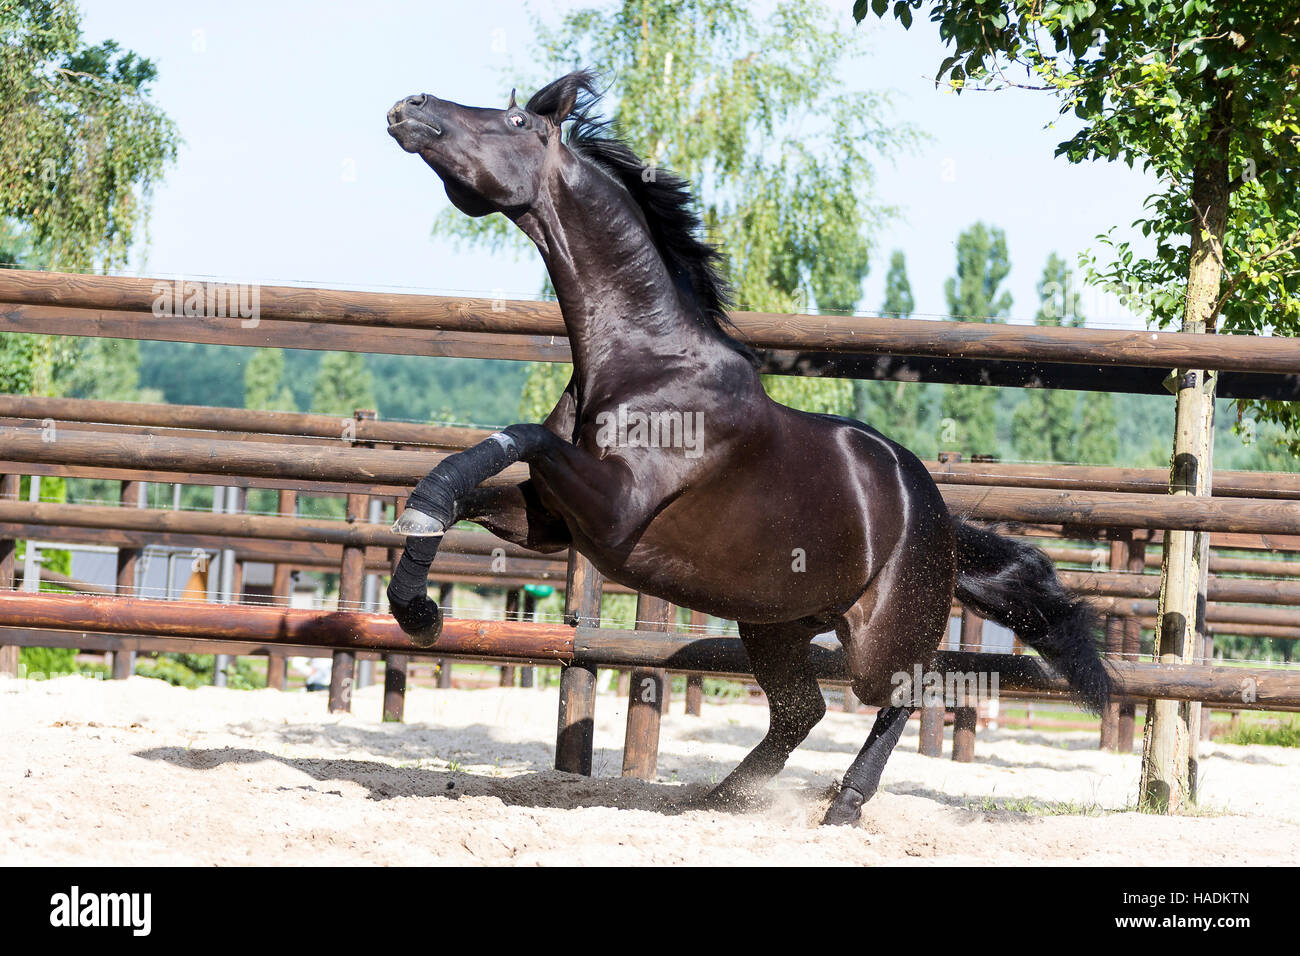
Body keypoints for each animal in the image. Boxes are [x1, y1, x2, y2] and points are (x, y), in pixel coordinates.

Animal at [383, 71, 1111, 826]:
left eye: (518, 121)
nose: (409, 106)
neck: (646, 363)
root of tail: (938, 515)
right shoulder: (556, 522)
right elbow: (473, 493)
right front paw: (415, 606)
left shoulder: (612, 511)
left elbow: (511, 441)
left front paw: (419, 585)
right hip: (775, 623)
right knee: (801, 710)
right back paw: (724, 799)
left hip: (879, 635)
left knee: (909, 692)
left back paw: (843, 805)